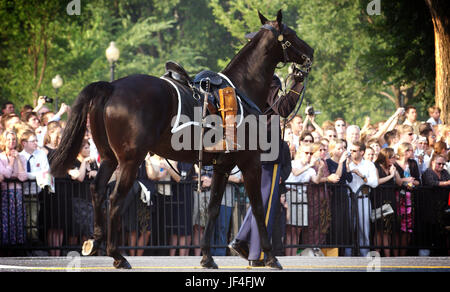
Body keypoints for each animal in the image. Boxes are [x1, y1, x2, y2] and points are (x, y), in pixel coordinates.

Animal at [50, 10, 312, 270]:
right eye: (290, 34)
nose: (310, 53)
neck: (241, 90)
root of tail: (112, 87)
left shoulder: (223, 166)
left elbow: (213, 208)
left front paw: (207, 257)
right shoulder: (250, 163)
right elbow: (258, 207)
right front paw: (271, 256)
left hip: (109, 158)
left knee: (97, 190)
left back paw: (95, 241)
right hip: (130, 161)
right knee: (114, 199)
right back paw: (117, 255)